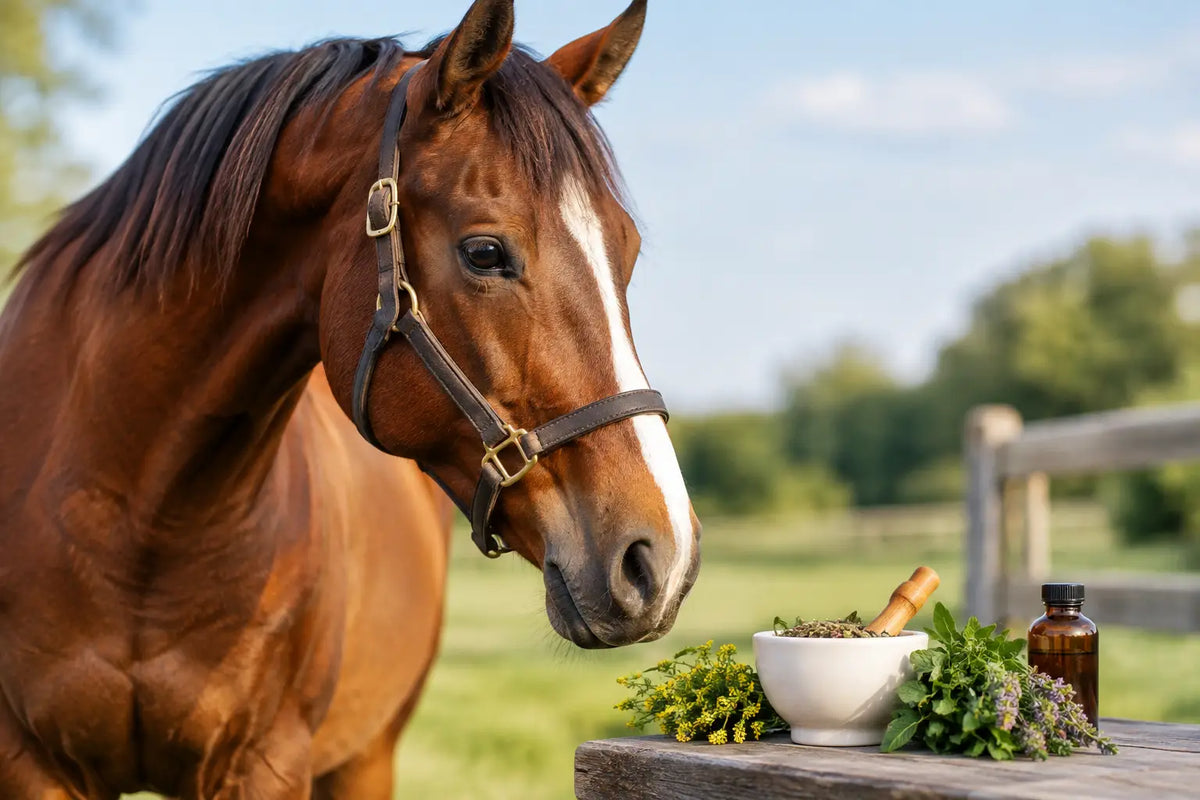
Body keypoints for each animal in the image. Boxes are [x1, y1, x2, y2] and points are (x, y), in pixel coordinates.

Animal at [0, 0, 701, 796]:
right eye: (485, 252)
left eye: (628, 249)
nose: (661, 560)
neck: (138, 517)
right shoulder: (32, 764)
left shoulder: (267, 762)